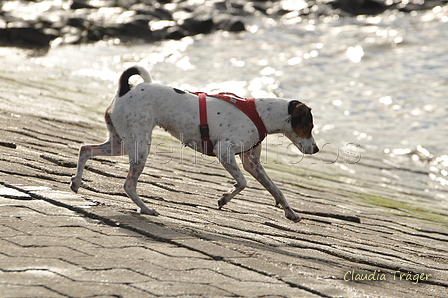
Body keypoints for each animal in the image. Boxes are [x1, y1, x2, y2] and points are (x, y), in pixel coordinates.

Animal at [71, 66, 318, 222]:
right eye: (310, 126)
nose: (316, 149)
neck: (262, 115)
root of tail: (125, 90)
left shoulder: (252, 164)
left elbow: (276, 189)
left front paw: (290, 212)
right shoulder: (224, 150)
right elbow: (242, 182)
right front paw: (224, 198)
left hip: (120, 143)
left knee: (85, 149)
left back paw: (76, 183)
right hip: (139, 147)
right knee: (129, 184)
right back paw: (146, 209)